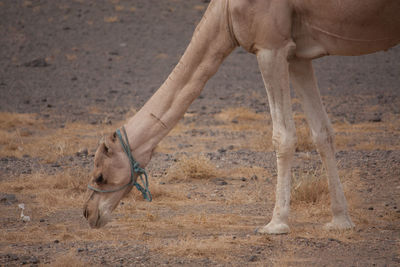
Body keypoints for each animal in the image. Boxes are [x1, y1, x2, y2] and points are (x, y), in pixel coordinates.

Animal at [83, 0, 398, 234]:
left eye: (100, 175)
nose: (88, 212)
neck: (225, 14)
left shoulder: (271, 47)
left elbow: (283, 135)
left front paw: (276, 224)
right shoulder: (298, 54)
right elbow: (322, 133)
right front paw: (340, 220)